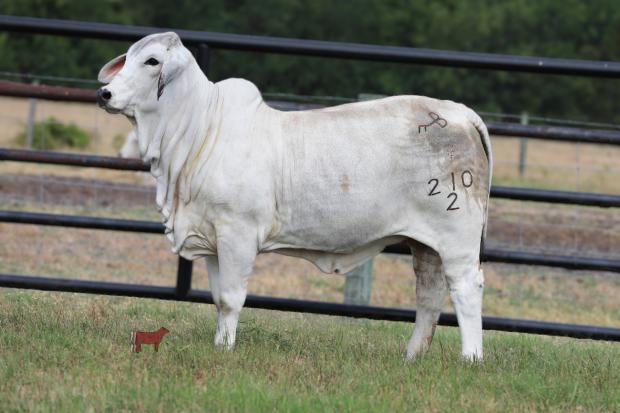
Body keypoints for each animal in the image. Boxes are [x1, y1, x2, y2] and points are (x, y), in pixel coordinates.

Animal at [97, 32, 492, 360]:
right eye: (127, 57)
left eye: (152, 61)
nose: (105, 93)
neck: (198, 130)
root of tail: (458, 112)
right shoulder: (212, 239)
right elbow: (218, 298)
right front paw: (219, 344)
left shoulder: (238, 233)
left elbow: (231, 298)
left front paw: (226, 350)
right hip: (426, 244)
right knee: (429, 294)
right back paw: (411, 356)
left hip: (457, 237)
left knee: (466, 288)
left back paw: (470, 359)